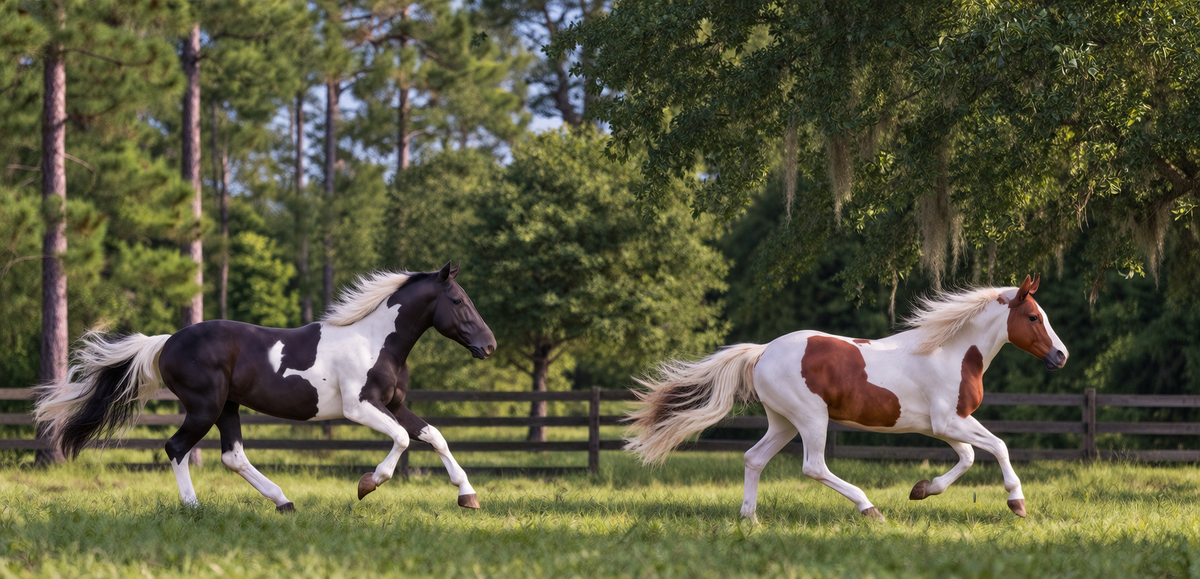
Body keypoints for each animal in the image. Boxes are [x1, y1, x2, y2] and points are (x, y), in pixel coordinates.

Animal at [34, 262, 496, 512]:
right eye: (458, 302)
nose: (489, 345)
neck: (376, 341)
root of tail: (165, 342)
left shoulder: (395, 405)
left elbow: (434, 436)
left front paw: (468, 496)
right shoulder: (359, 408)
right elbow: (401, 439)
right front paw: (367, 484)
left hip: (227, 407)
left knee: (233, 456)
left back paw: (284, 502)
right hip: (204, 407)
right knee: (176, 447)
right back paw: (194, 507)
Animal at [625, 275, 1067, 522]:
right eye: (1033, 317)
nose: (1061, 356)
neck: (950, 352)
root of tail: (763, 351)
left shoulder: (940, 425)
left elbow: (970, 457)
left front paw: (922, 489)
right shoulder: (948, 421)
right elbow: (998, 446)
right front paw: (1017, 503)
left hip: (783, 422)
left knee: (754, 458)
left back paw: (749, 520)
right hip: (811, 420)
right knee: (813, 466)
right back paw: (870, 509)